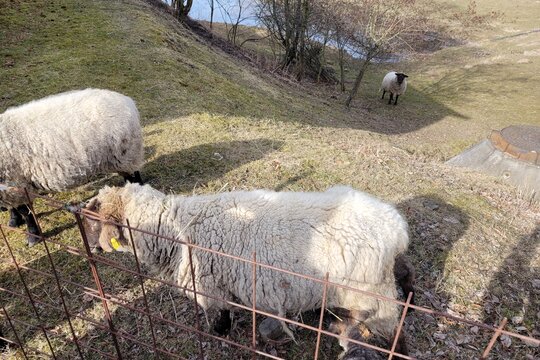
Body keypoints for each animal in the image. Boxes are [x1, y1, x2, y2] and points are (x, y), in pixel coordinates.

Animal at [0, 88, 143, 245]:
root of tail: (128, 102)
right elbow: (14, 207)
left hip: (126, 154)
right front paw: (14, 220)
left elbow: (25, 212)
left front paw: (33, 236)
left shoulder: (17, 183)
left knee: (133, 176)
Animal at [81, 183, 410, 352]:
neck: (174, 228)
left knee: (391, 330)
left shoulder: (210, 285)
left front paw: (220, 332)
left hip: (371, 295)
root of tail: (397, 228)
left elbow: (221, 312)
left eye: (93, 219)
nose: (91, 249)